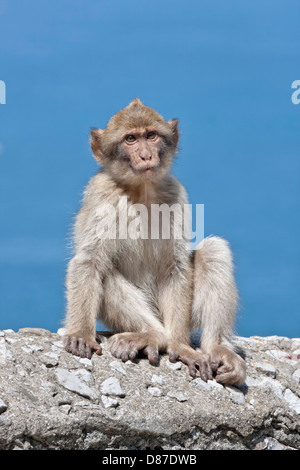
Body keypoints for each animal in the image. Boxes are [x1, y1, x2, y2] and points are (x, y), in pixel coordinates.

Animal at [63, 98, 246, 386]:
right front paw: (81, 333)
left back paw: (213, 347)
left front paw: (180, 346)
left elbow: (176, 267)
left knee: (214, 250)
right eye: (130, 139)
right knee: (106, 271)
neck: (142, 189)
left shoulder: (175, 192)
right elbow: (89, 261)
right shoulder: (101, 193)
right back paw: (153, 334)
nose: (146, 155)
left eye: (151, 136)